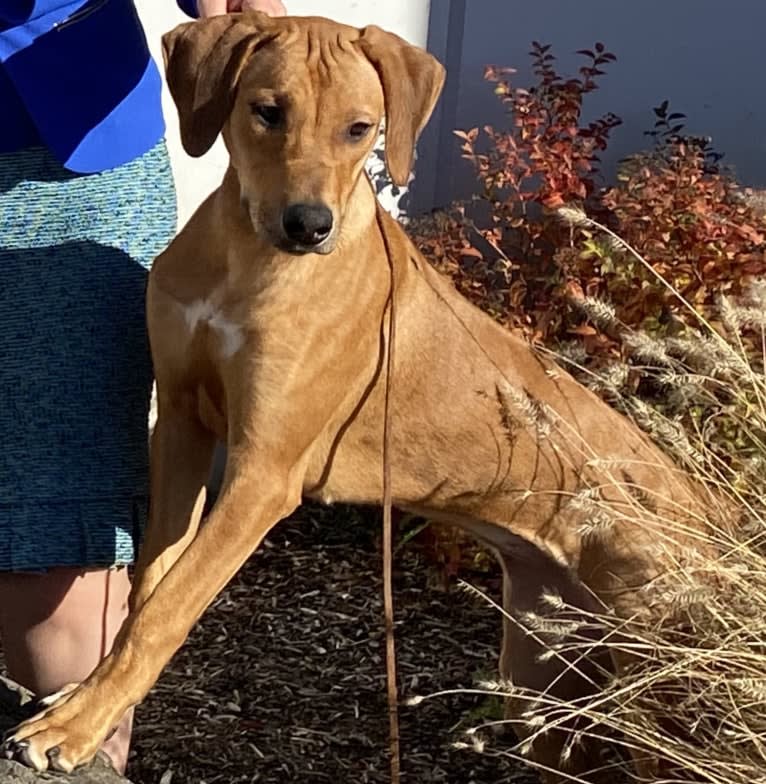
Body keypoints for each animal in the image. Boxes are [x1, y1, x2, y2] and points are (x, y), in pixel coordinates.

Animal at [3, 12, 712, 784]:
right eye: (268, 112)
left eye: (359, 128)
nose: (308, 225)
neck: (245, 256)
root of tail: (711, 519)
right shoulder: (183, 425)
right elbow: (148, 589)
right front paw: (89, 702)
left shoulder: (262, 475)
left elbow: (170, 608)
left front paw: (75, 723)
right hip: (546, 662)